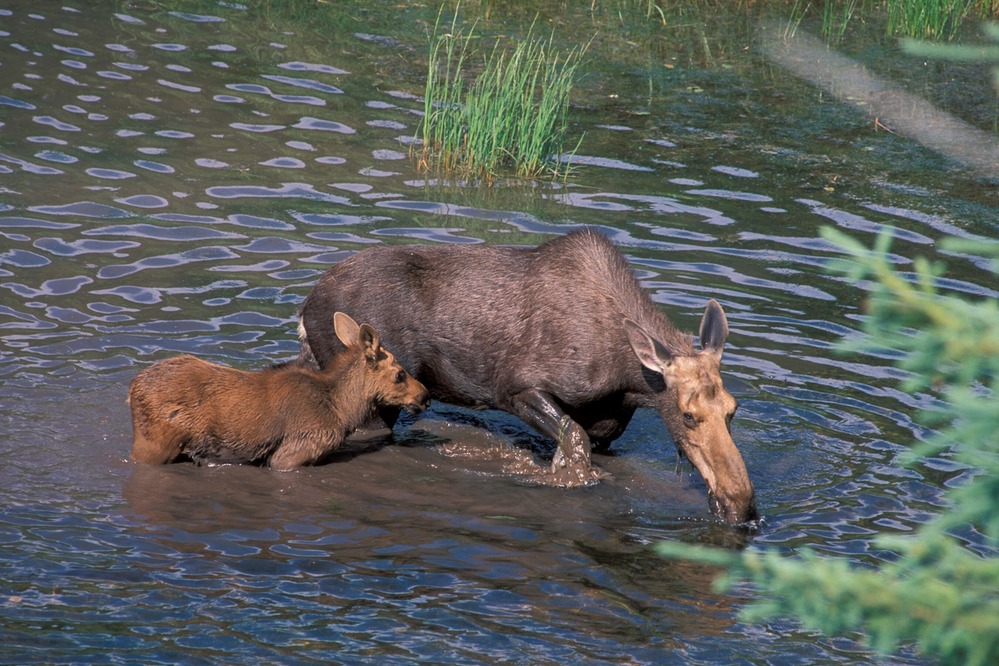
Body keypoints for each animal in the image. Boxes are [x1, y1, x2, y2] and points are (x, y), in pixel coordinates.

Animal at [129, 310, 430, 466]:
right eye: (400, 374)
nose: (425, 396)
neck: (342, 410)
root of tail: (133, 389)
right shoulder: (293, 454)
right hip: (154, 445)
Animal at [296, 228, 756, 524]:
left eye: (732, 410)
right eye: (688, 415)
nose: (742, 503)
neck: (628, 381)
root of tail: (304, 307)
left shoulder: (608, 430)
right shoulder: (517, 387)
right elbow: (573, 441)